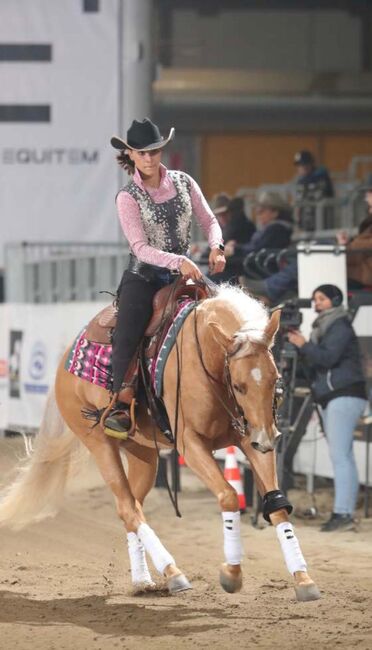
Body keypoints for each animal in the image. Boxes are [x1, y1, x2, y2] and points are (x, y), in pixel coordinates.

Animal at [0, 286, 320, 600]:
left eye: (275, 379)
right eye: (240, 386)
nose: (266, 438)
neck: (206, 357)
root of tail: (64, 361)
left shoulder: (249, 439)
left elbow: (277, 504)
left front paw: (304, 580)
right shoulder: (191, 444)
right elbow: (229, 495)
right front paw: (231, 573)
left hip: (143, 453)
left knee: (132, 508)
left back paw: (143, 580)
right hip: (99, 444)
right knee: (127, 508)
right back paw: (173, 573)